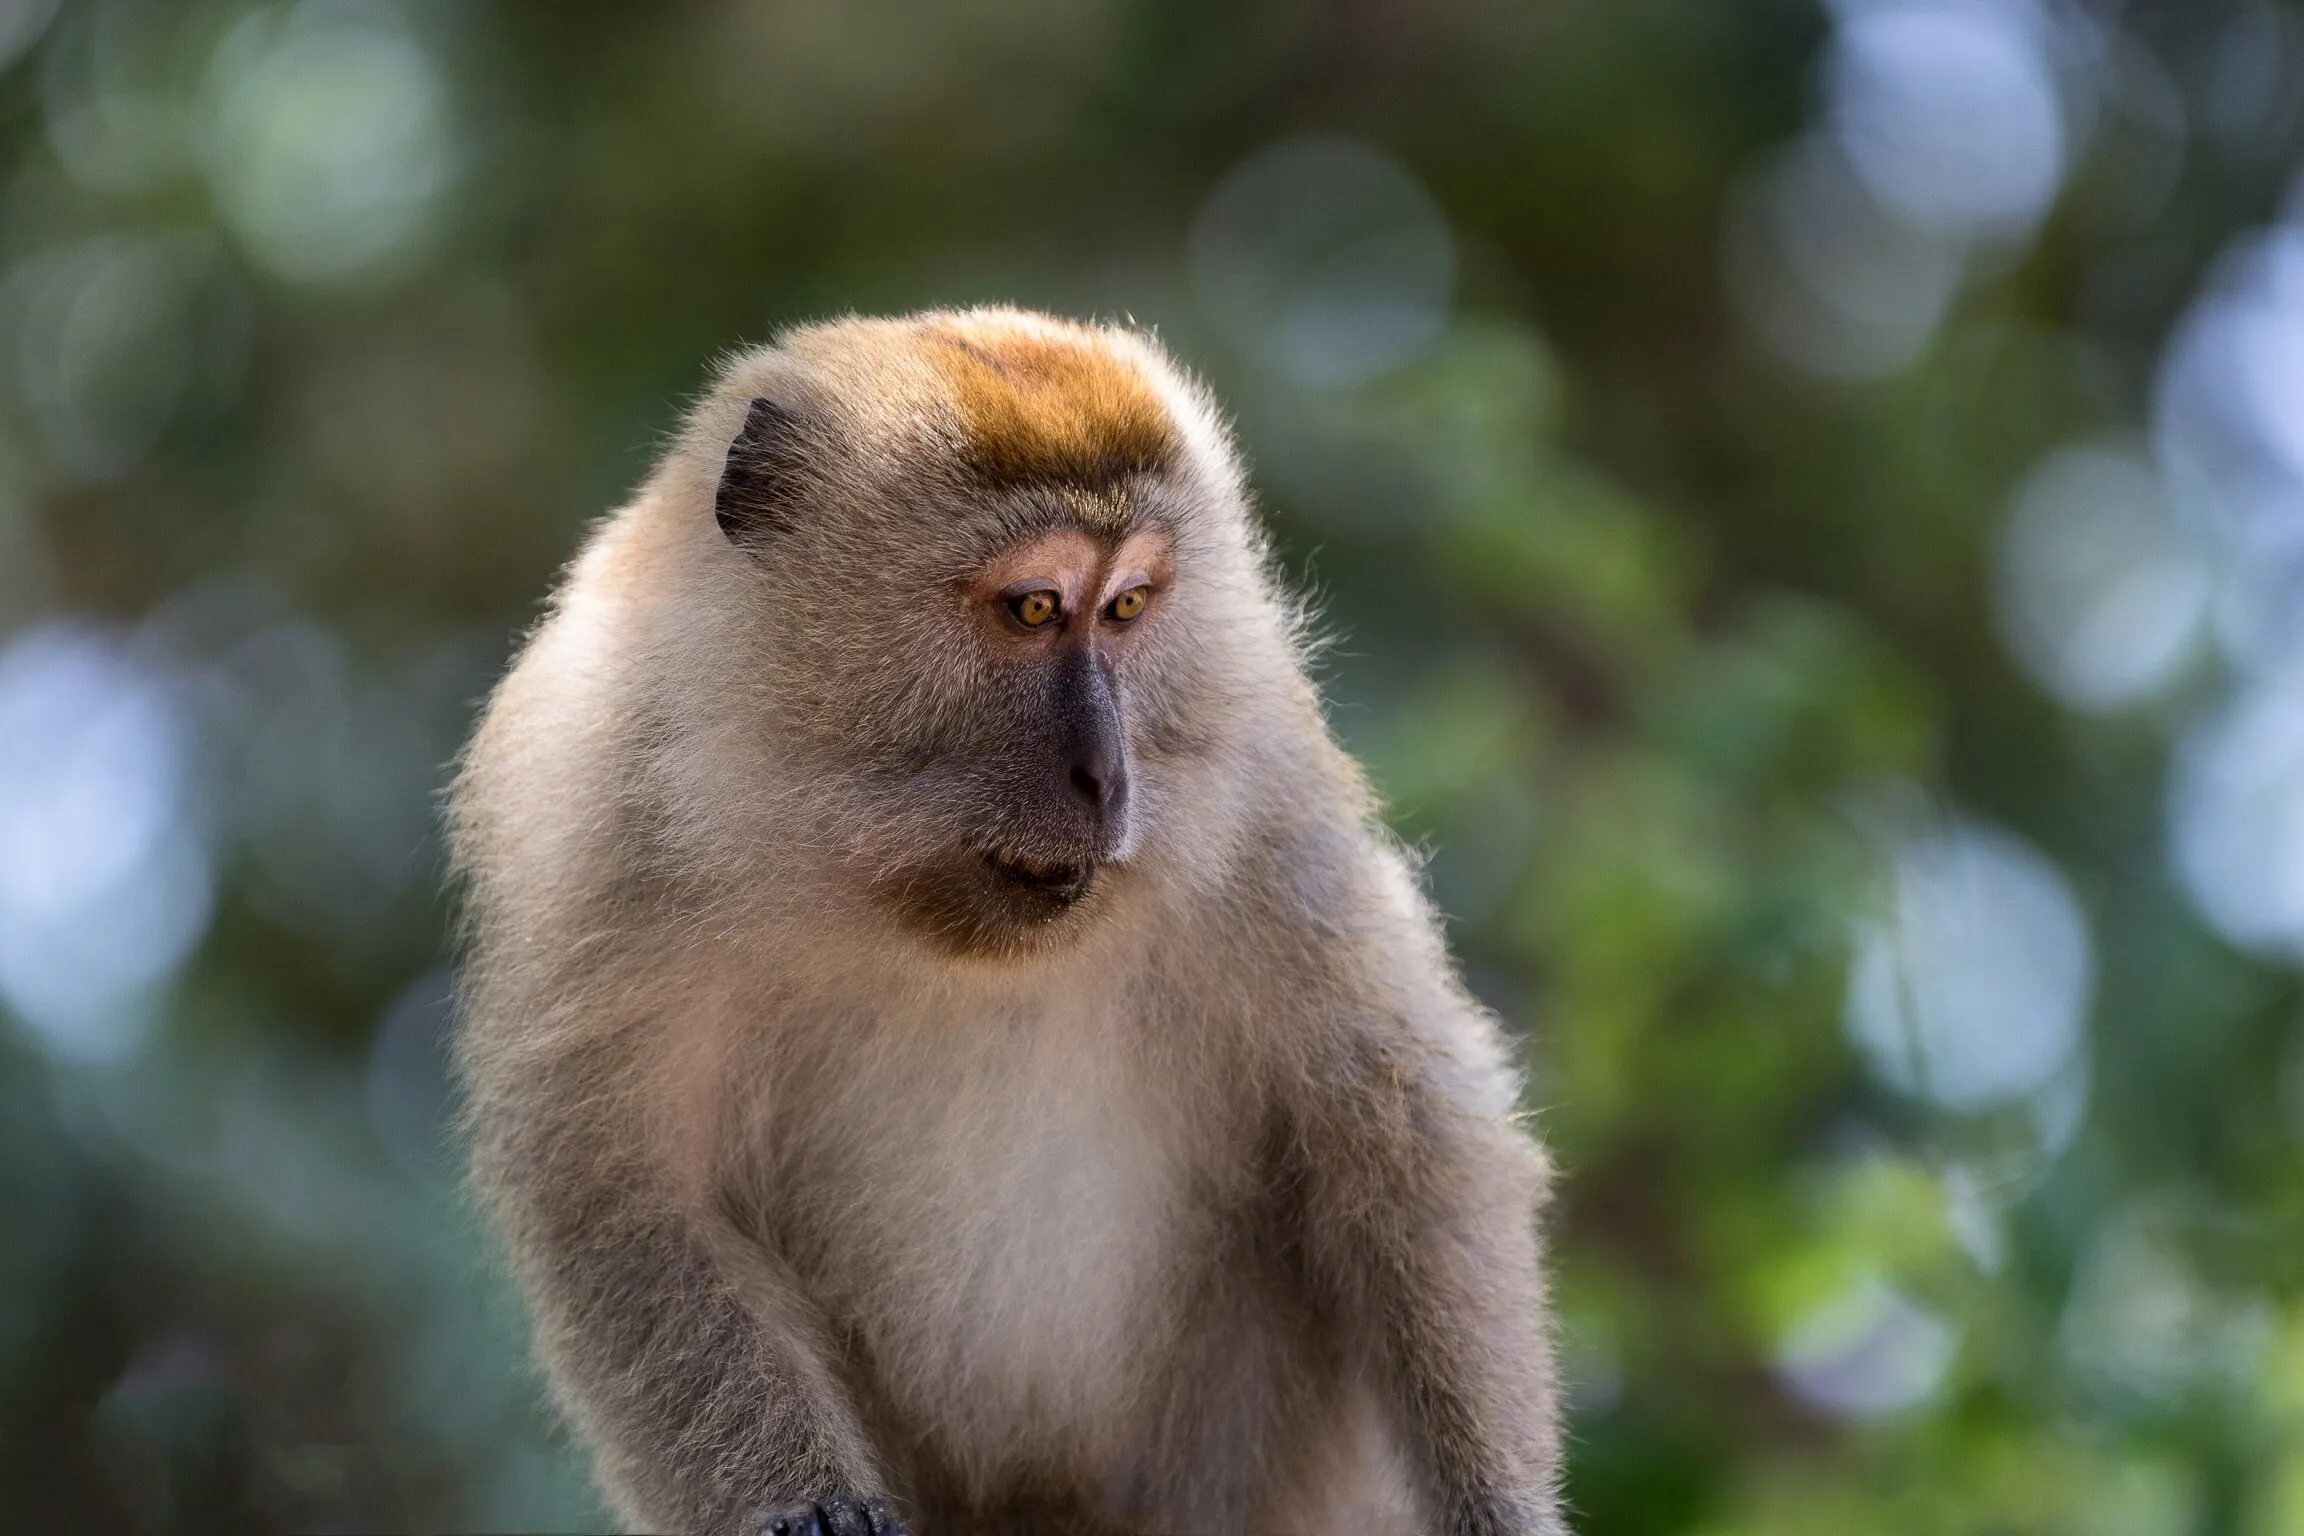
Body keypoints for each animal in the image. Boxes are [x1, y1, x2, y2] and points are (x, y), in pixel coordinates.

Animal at [449, 306, 1563, 1536]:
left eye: (1126, 608)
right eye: (1034, 607)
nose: (1106, 775)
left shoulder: (1262, 780)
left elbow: (1395, 1120)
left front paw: (1500, 1509)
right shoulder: (603, 807)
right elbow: (628, 1200)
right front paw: (812, 1506)